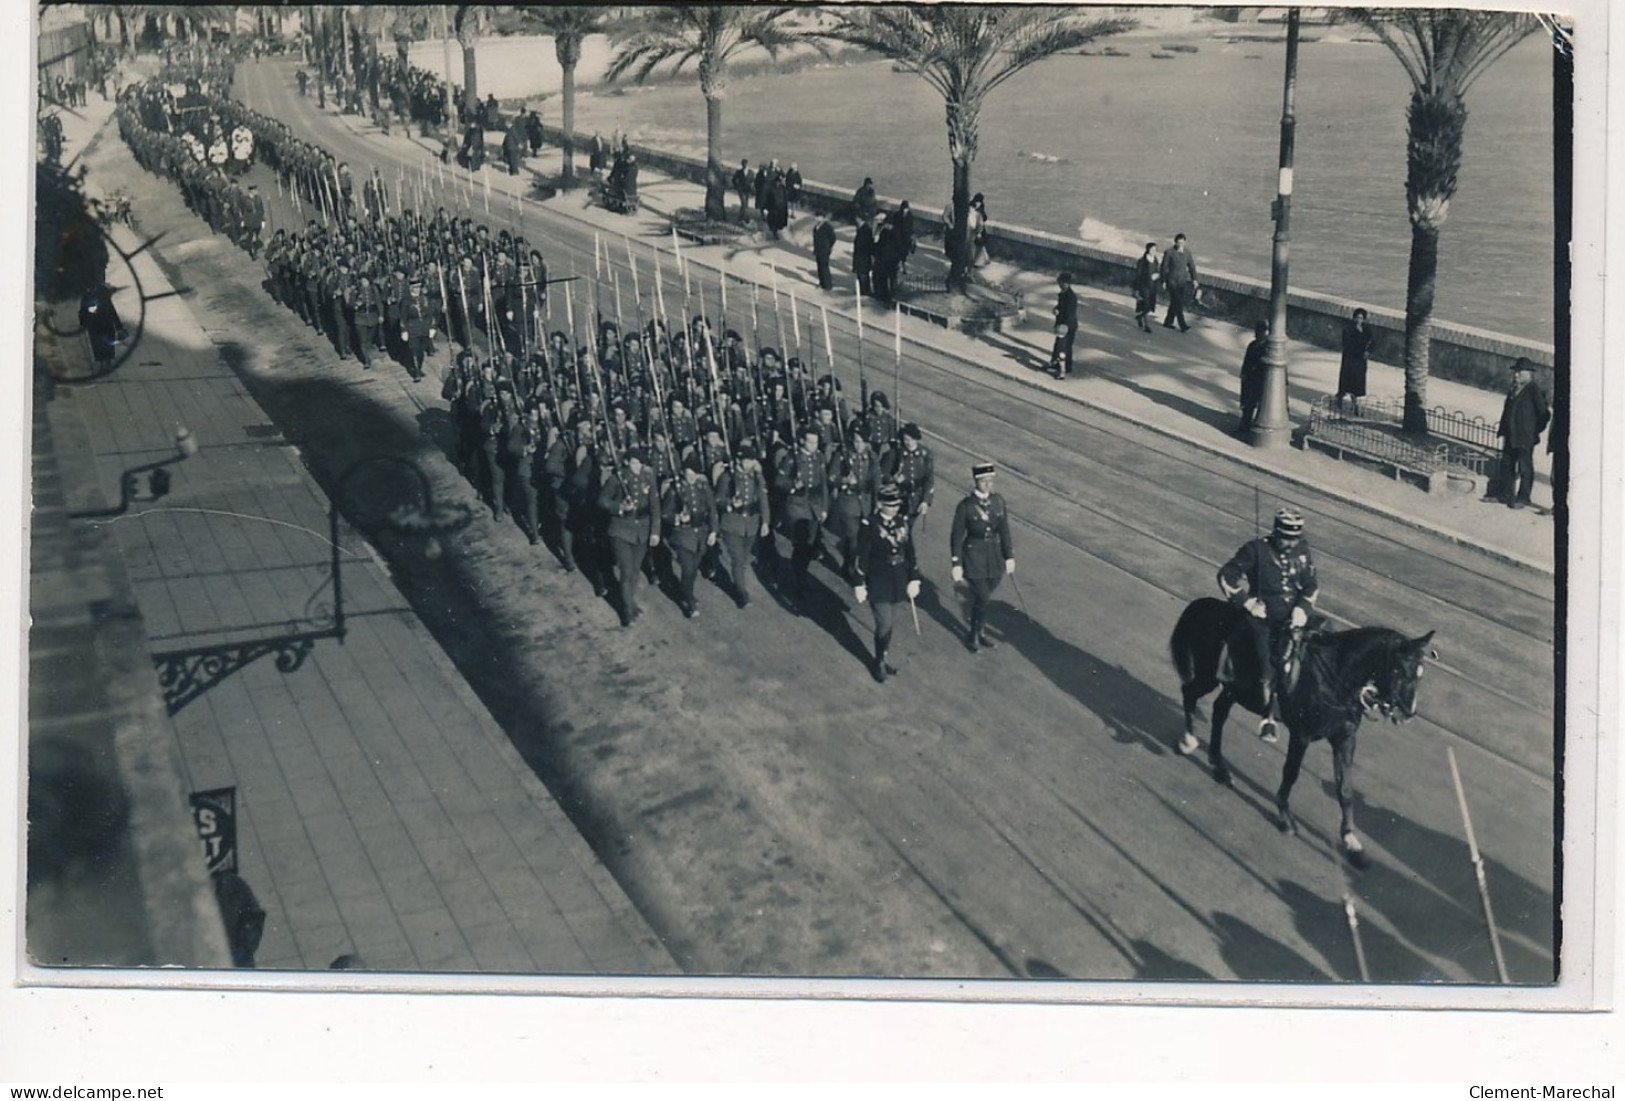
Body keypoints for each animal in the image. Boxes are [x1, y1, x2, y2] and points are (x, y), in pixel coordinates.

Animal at [1170, 600, 1436, 863]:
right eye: (1398, 669)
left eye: (1420, 673)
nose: (1407, 713)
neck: (1333, 676)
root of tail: (1206, 605)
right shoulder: (1301, 736)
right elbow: (1291, 773)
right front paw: (1285, 818)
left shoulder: (1345, 738)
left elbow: (1345, 788)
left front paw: (1350, 840)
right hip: (1207, 677)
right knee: (1189, 693)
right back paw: (1188, 741)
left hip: (1232, 690)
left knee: (1218, 713)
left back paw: (1220, 769)